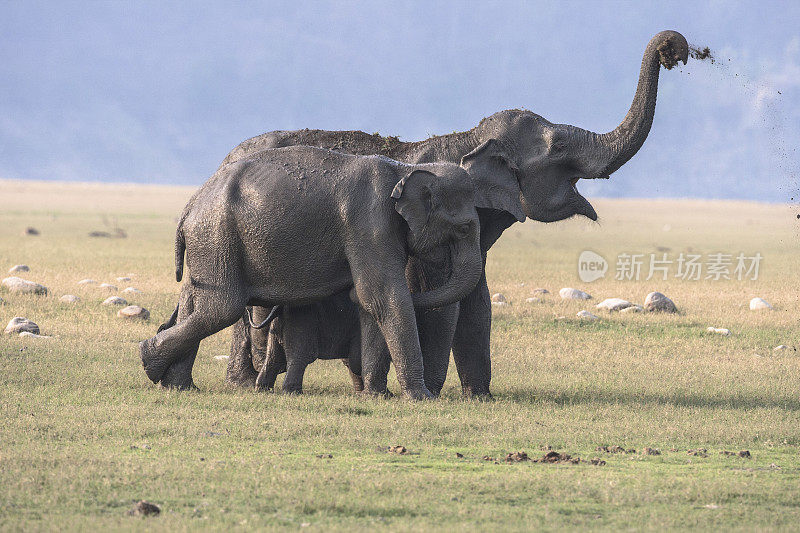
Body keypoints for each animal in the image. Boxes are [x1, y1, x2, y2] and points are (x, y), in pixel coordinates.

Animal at [140, 145, 482, 400]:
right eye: (464, 228)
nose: (428, 395)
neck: (404, 170)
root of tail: (190, 204)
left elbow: (372, 303)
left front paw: (377, 396)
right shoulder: (370, 225)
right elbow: (382, 296)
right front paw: (421, 397)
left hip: (208, 243)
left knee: (194, 302)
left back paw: (176, 384)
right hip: (216, 237)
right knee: (221, 307)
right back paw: (149, 361)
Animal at [223, 29, 688, 394]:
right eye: (557, 147)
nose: (675, 50)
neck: (469, 137)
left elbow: (477, 301)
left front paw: (480, 396)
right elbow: (442, 298)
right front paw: (433, 390)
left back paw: (244, 382)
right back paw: (249, 384)